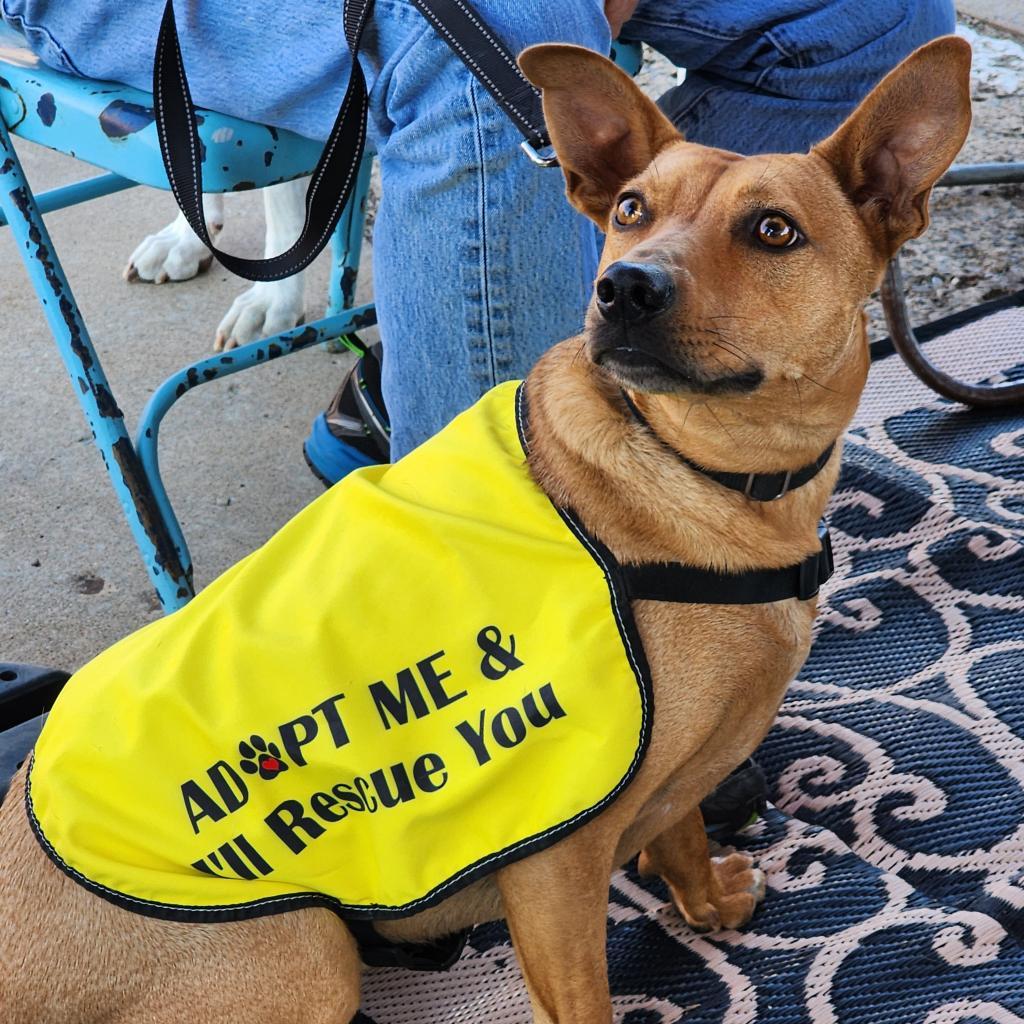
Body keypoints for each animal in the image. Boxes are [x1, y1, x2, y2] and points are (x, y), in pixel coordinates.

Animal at [0, 36, 970, 1024]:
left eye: (774, 230)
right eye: (631, 209)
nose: (624, 287)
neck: (699, 473)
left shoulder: (671, 782)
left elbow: (683, 832)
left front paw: (706, 902)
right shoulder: (554, 866)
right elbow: (585, 995)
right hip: (305, 950)